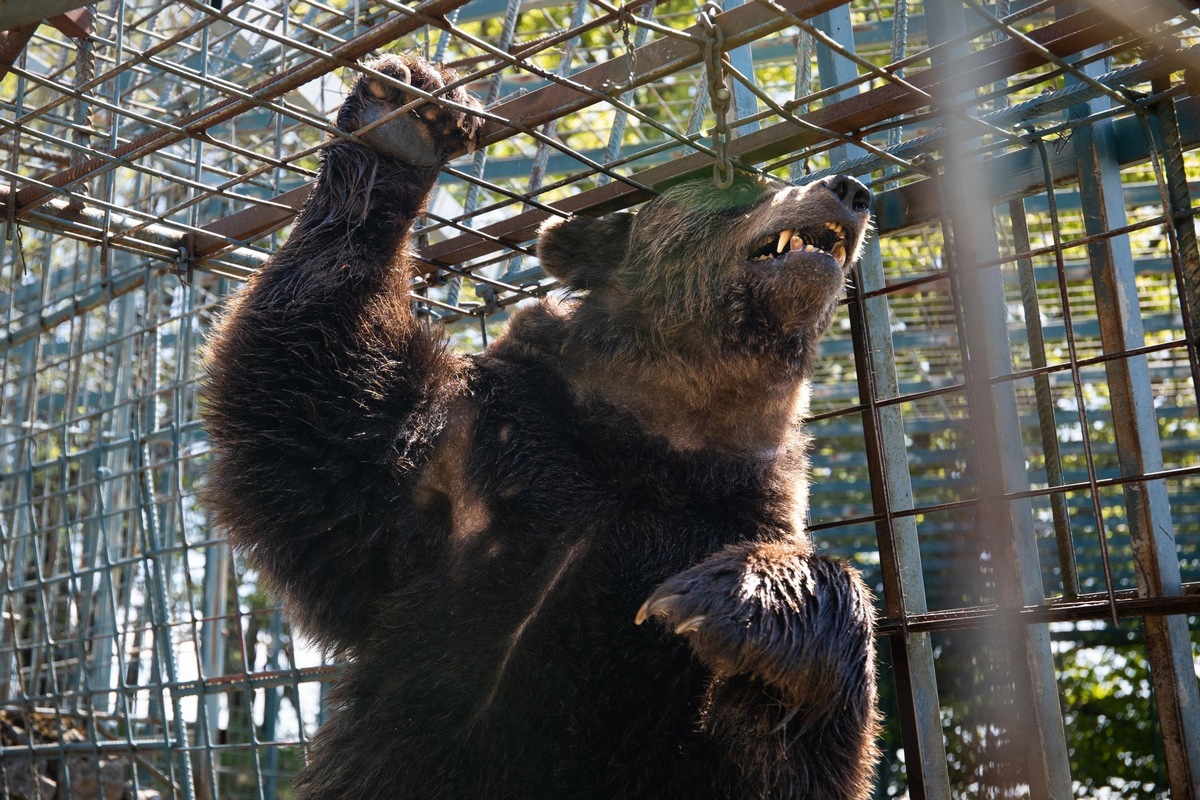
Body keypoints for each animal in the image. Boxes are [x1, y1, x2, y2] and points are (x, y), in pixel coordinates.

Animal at [201, 54, 883, 800]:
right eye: (739, 177)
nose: (851, 188)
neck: (657, 435)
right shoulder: (478, 450)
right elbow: (312, 396)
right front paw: (403, 119)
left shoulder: (730, 523)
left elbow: (776, 750)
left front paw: (734, 600)